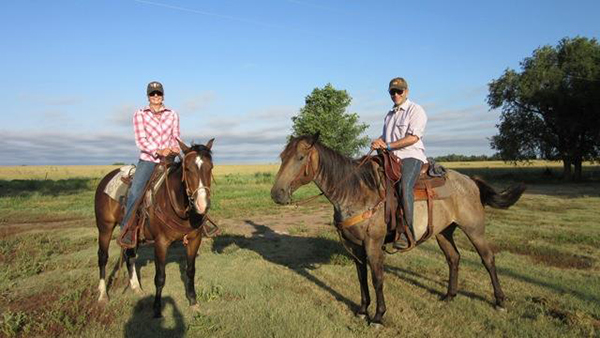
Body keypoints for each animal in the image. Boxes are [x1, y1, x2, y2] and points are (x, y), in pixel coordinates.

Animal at [95, 139, 214, 318]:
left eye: (210, 167)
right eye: (187, 169)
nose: (202, 205)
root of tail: (107, 178)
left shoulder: (194, 240)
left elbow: (190, 271)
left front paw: (193, 301)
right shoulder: (161, 243)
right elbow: (160, 277)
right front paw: (157, 308)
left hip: (133, 235)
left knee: (130, 256)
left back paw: (136, 287)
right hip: (105, 228)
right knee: (103, 257)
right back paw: (103, 295)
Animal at [270, 135, 524, 328]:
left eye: (300, 157)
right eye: (282, 157)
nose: (277, 194)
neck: (356, 192)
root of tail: (470, 181)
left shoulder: (373, 245)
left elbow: (377, 278)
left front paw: (378, 316)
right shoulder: (355, 247)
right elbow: (361, 278)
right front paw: (362, 309)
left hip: (474, 229)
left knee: (488, 259)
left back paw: (500, 301)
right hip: (444, 232)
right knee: (454, 258)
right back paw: (449, 296)